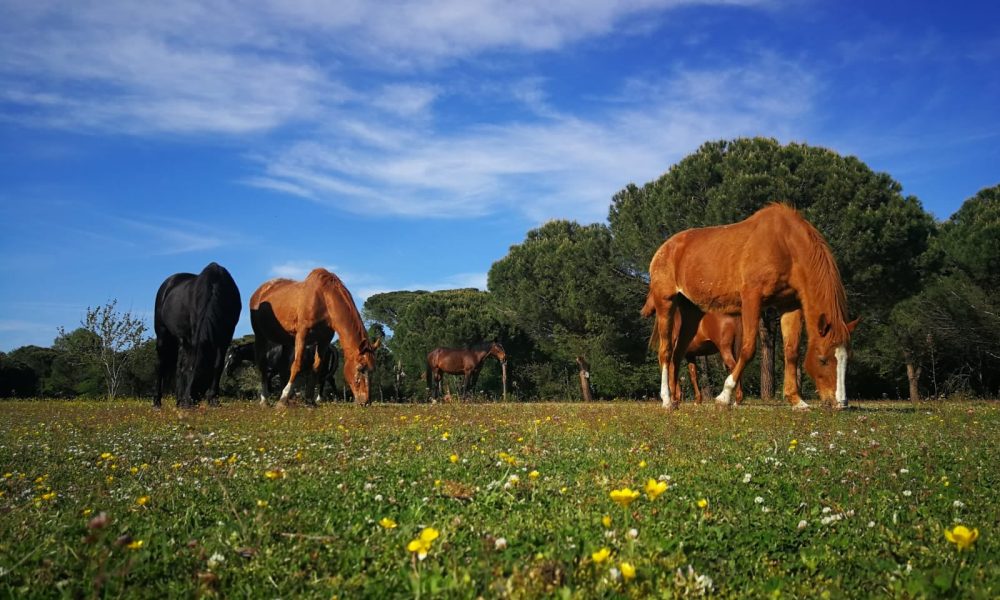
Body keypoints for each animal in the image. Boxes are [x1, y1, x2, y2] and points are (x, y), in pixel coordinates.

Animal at [154, 262, 244, 408]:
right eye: (190, 373)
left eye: (199, 374)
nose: (187, 402)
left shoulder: (226, 336)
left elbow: (218, 366)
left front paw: (213, 399)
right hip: (162, 334)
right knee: (161, 365)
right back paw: (157, 402)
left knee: (177, 366)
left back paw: (178, 400)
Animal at [249, 268, 378, 406]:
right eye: (360, 368)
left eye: (372, 370)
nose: (365, 401)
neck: (324, 299)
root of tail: (259, 292)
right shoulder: (302, 335)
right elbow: (297, 364)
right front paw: (283, 399)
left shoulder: (324, 341)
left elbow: (316, 367)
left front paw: (309, 400)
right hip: (260, 336)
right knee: (263, 366)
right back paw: (265, 399)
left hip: (286, 342)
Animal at [648, 204, 860, 410]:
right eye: (823, 359)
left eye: (848, 359)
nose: (841, 404)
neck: (786, 244)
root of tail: (664, 249)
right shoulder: (752, 299)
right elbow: (748, 349)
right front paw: (724, 396)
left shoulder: (789, 305)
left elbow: (791, 351)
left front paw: (796, 400)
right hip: (666, 302)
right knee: (666, 352)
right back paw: (667, 400)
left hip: (691, 312)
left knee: (677, 354)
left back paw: (676, 401)